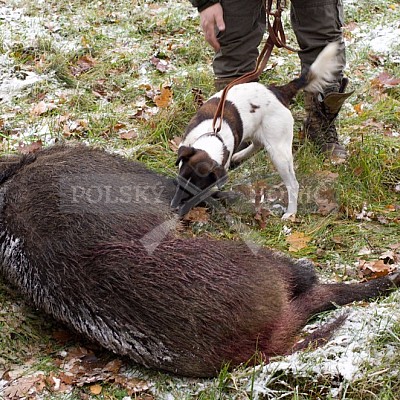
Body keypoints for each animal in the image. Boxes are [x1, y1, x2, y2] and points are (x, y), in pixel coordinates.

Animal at [172, 42, 340, 219]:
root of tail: (279, 91)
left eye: (195, 188)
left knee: (293, 184)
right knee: (258, 143)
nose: (173, 207)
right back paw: (239, 155)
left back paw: (290, 212)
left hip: (279, 151)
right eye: (180, 180)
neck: (213, 135)